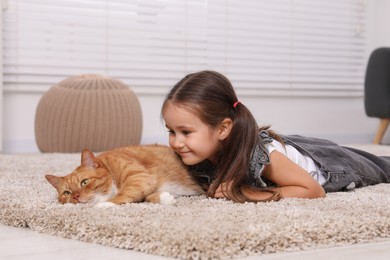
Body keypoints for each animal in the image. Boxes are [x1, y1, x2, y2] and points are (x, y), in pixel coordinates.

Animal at [45, 143, 204, 206]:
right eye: (67, 193)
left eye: (84, 182)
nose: (76, 197)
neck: (110, 167)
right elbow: (146, 197)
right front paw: (164, 198)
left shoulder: (139, 177)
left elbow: (123, 194)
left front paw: (103, 205)